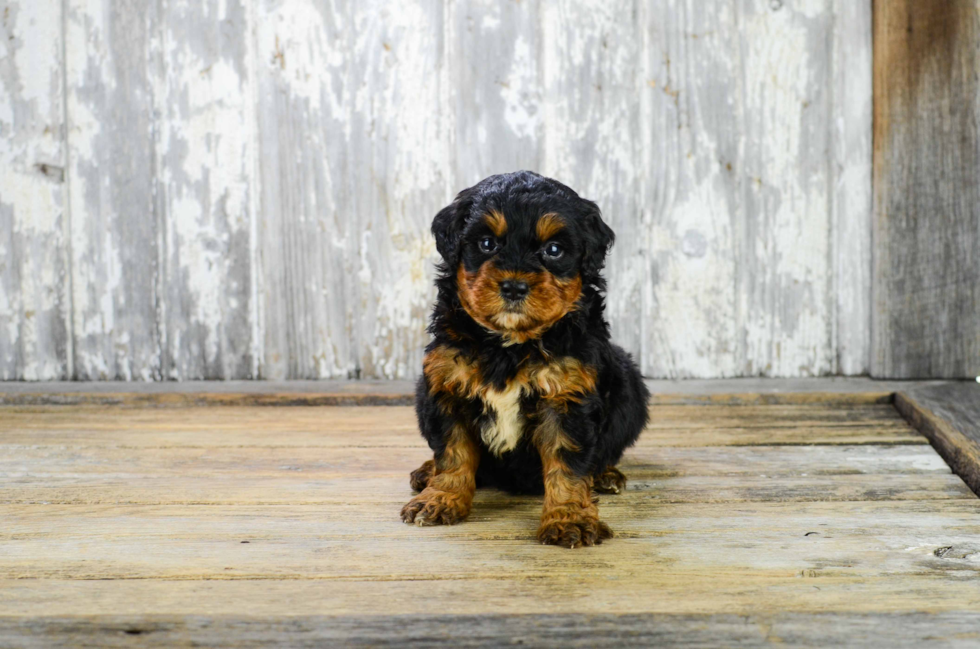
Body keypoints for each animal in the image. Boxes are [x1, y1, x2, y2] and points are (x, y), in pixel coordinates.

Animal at [402, 170, 648, 544]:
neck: (511, 344)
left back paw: (605, 474)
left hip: (629, 384)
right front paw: (441, 497)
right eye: (487, 244)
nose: (514, 287)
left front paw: (568, 518)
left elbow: (567, 462)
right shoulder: (446, 384)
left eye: (554, 250)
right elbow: (452, 451)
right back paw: (426, 472)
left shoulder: (567, 394)